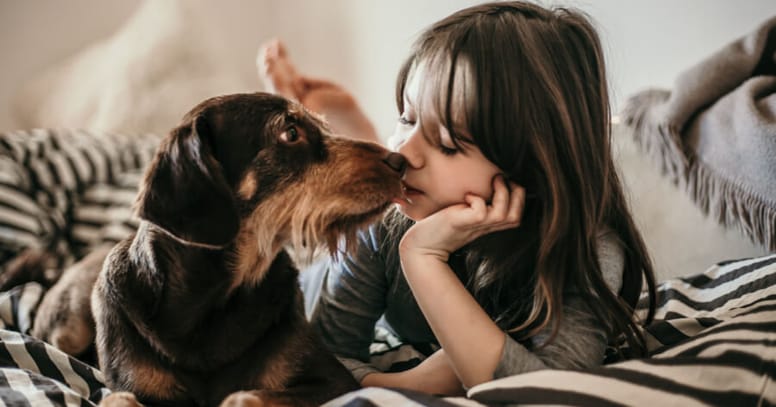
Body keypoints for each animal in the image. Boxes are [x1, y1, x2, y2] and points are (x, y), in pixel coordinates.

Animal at [90, 93, 406, 407]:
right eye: (291, 133)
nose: (401, 161)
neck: (209, 303)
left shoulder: (337, 383)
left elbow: (243, 395)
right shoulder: (131, 386)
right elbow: (117, 399)